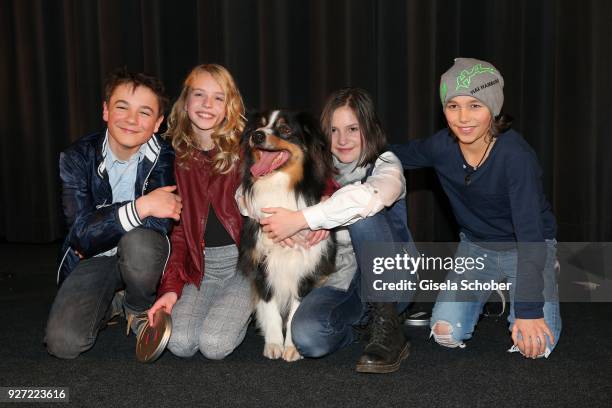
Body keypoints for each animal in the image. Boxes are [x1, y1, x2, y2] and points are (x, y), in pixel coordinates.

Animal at [238, 110, 334, 362]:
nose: (257, 135)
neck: (278, 187)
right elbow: (269, 305)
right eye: (260, 126)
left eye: (285, 130)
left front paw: (292, 348)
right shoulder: (262, 264)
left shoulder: (307, 266)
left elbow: (295, 312)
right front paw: (274, 344)